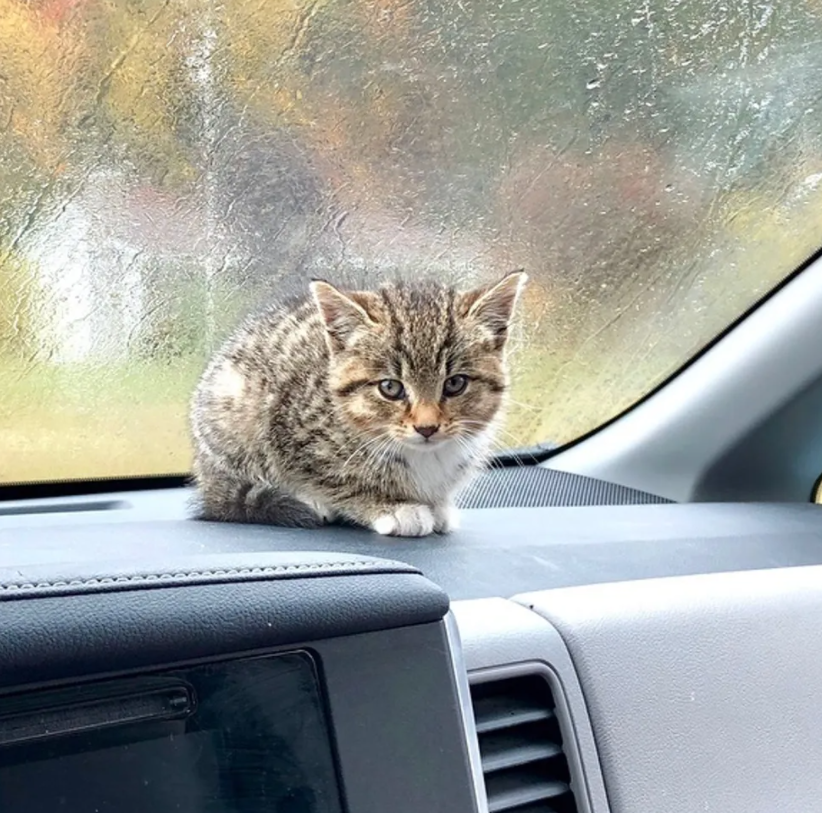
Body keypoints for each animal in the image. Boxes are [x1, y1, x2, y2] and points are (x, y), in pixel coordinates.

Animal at [189, 270, 528, 536]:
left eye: (455, 384)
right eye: (390, 387)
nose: (427, 427)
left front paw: (439, 506)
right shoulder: (289, 430)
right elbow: (337, 481)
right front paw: (391, 508)